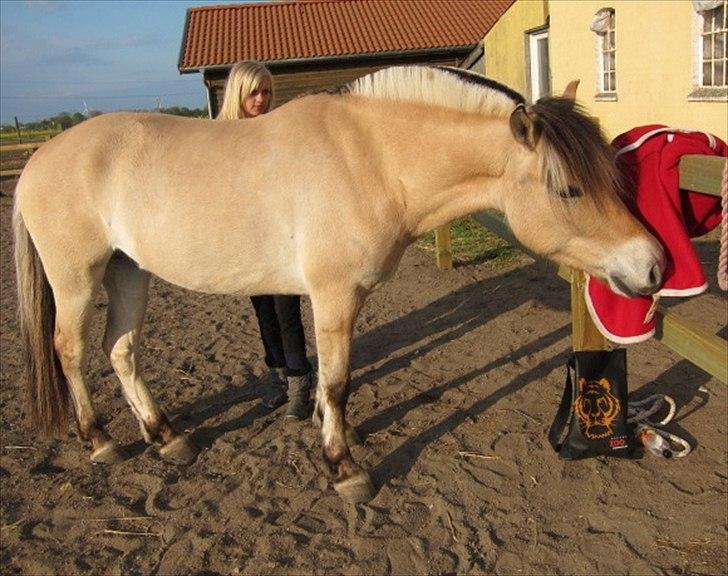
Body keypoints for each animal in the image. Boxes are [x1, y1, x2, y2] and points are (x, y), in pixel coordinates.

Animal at [13, 65, 665, 503]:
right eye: (569, 189)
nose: (654, 266)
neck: (370, 158)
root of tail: (39, 159)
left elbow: (333, 382)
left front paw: (339, 439)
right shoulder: (333, 296)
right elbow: (336, 381)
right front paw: (344, 468)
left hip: (130, 271)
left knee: (120, 351)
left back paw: (165, 435)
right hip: (77, 278)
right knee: (70, 350)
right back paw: (100, 441)